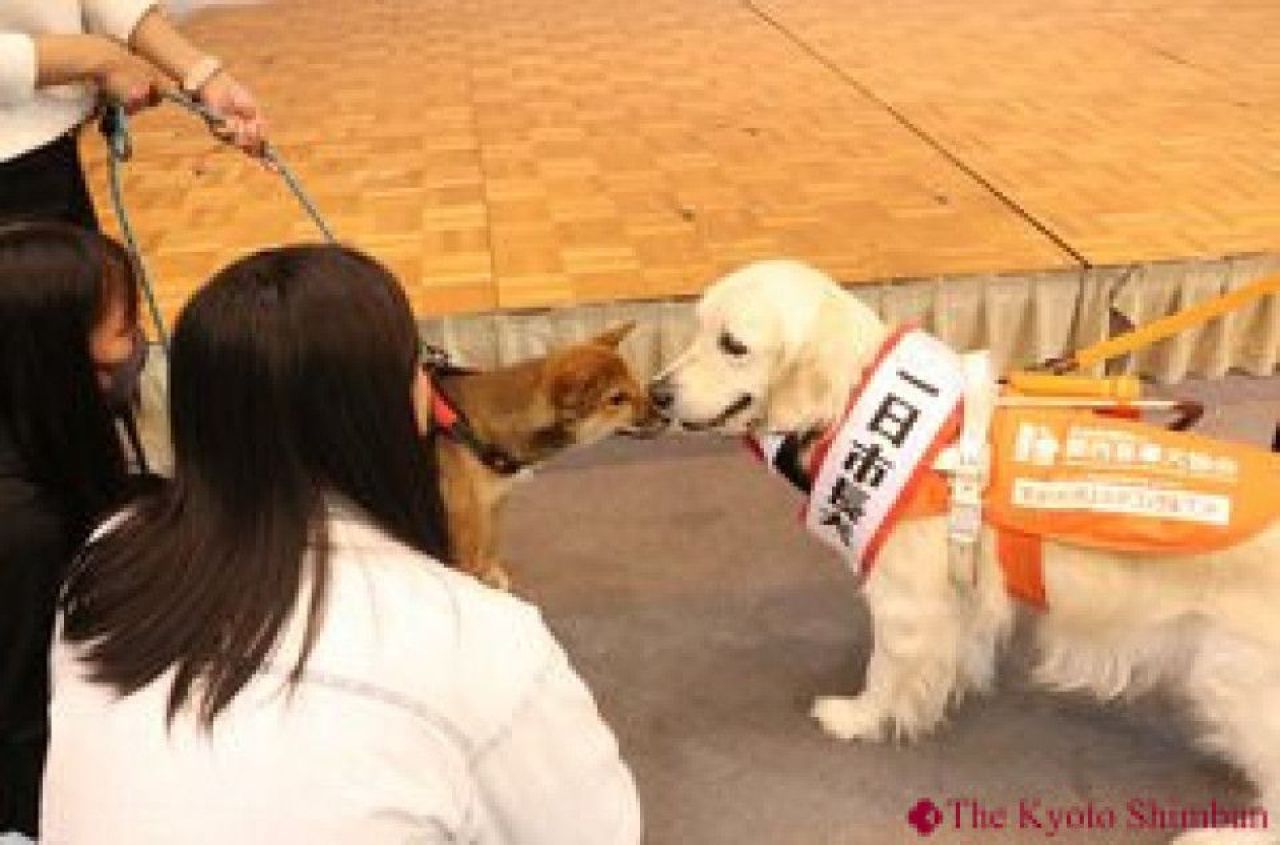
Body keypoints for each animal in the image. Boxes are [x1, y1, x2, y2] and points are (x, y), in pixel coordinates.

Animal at [435, 323, 665, 586]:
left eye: (636, 383)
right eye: (617, 399)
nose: (665, 417)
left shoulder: (494, 502)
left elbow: (490, 546)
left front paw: (492, 575)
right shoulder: (464, 517)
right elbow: (469, 564)